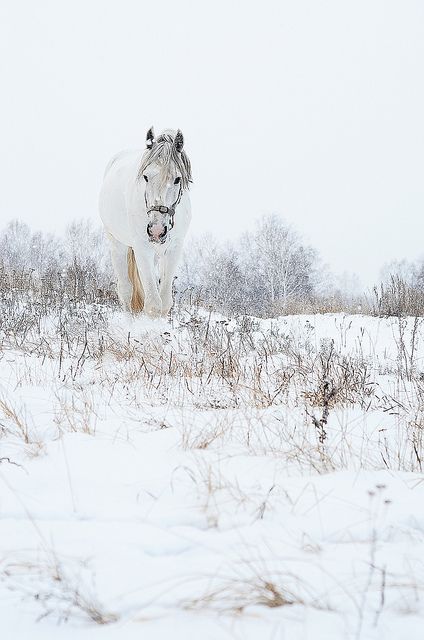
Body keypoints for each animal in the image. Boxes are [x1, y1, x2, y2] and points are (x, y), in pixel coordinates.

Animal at [99, 126, 192, 316]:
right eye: (146, 177)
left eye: (177, 179)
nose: (157, 231)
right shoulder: (143, 248)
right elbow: (153, 305)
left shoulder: (174, 249)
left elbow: (165, 303)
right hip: (118, 245)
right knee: (126, 291)